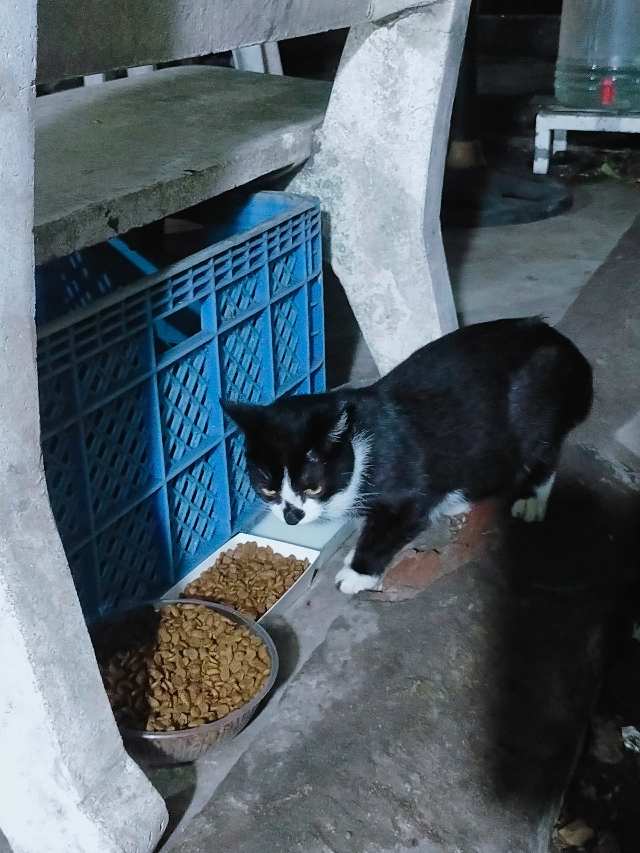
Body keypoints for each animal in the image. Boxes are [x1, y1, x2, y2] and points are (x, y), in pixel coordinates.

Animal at [223, 318, 593, 595]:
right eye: (267, 489)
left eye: (313, 487)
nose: (291, 515)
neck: (358, 444)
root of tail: (556, 338)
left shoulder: (405, 487)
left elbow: (391, 525)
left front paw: (356, 573)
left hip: (535, 401)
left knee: (542, 450)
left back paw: (531, 497)